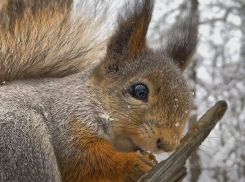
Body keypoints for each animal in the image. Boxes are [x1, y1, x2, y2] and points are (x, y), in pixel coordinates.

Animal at [0, 0, 197, 182]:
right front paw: (134, 164)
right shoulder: (68, 120)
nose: (168, 145)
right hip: (24, 139)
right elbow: (87, 161)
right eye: (140, 91)